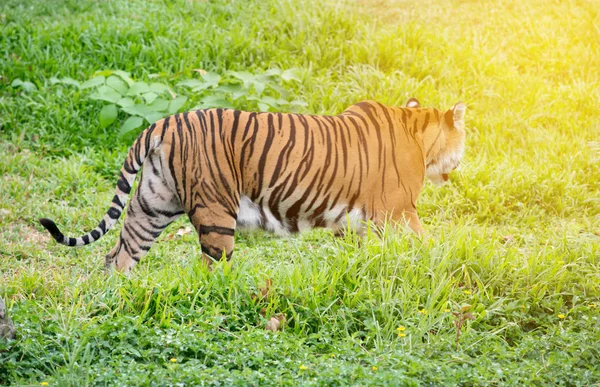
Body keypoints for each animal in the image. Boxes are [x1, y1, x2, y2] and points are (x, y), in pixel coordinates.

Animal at [39, 98, 466, 272]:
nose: (461, 162)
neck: (418, 133)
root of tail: (166, 121)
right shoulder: (399, 211)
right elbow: (425, 243)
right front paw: (439, 263)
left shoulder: (359, 219)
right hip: (215, 214)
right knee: (211, 268)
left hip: (152, 204)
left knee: (119, 255)